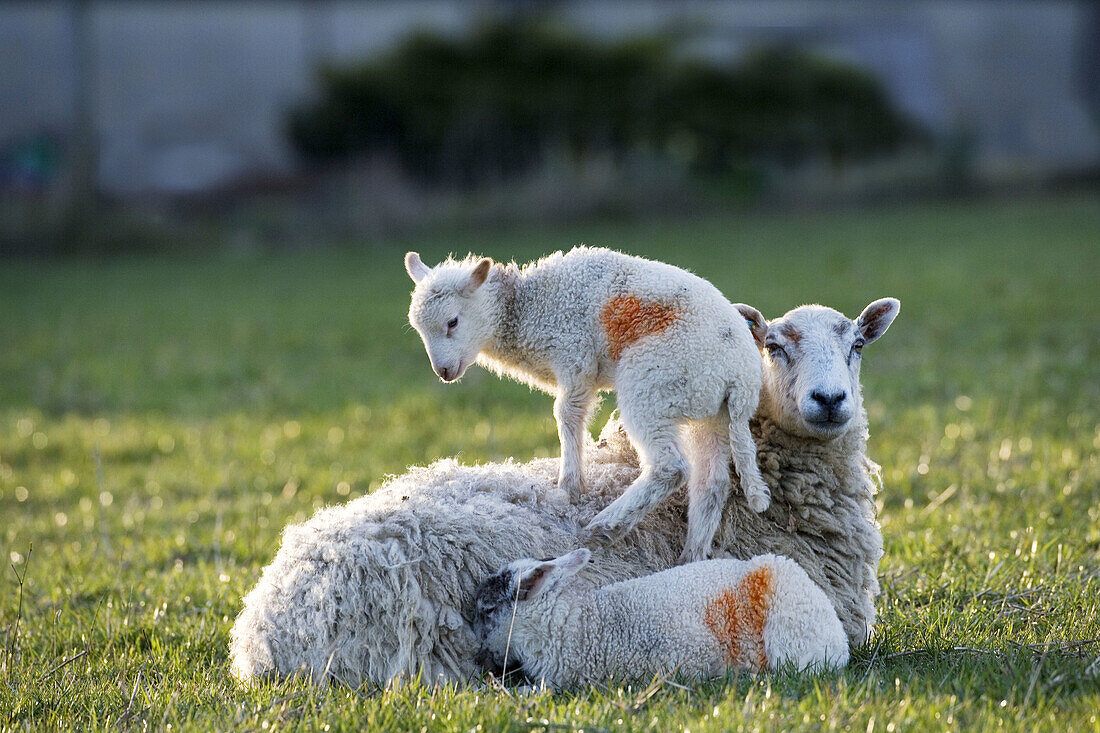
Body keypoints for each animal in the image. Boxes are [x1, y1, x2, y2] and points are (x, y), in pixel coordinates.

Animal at [400, 245, 770, 559]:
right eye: (418, 330)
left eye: (452, 322)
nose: (444, 372)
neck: (524, 307)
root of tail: (741, 377)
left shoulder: (575, 356)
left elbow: (566, 413)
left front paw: (569, 486)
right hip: (708, 409)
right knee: (712, 483)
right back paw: (690, 556)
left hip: (653, 383)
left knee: (671, 467)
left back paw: (605, 526)